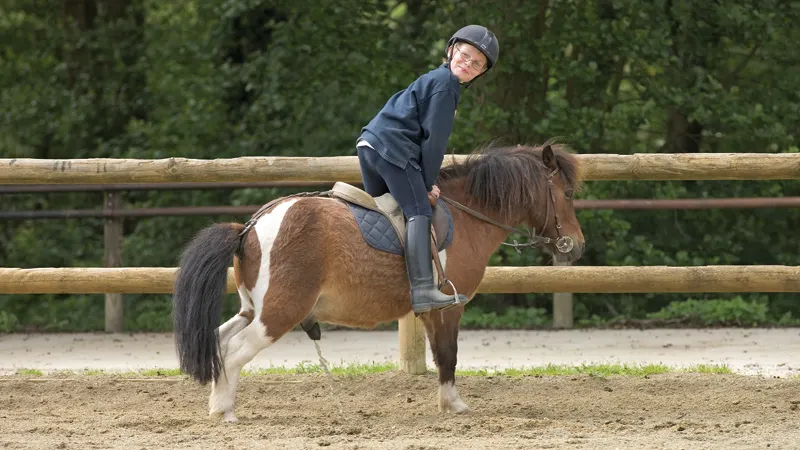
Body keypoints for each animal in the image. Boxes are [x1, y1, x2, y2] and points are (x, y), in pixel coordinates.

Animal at [172, 143, 584, 422]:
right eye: (567, 194)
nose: (576, 245)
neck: (467, 215)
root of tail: (250, 226)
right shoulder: (450, 309)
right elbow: (449, 355)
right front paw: (454, 405)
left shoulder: (431, 312)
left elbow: (441, 357)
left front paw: (446, 402)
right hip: (278, 313)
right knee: (235, 349)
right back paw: (226, 411)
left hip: (251, 309)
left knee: (219, 341)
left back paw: (218, 405)